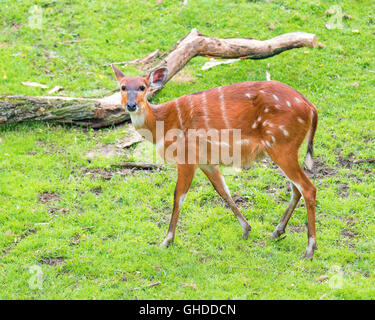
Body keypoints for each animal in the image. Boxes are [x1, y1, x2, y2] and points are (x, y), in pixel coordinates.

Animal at [112, 65, 320, 260]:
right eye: (122, 86)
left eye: (142, 87)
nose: (131, 105)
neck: (162, 124)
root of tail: (311, 108)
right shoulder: (207, 162)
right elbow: (223, 191)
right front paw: (246, 229)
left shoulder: (187, 157)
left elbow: (178, 196)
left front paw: (166, 241)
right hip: (285, 148)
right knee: (296, 189)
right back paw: (277, 232)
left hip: (281, 145)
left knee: (308, 188)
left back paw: (309, 249)